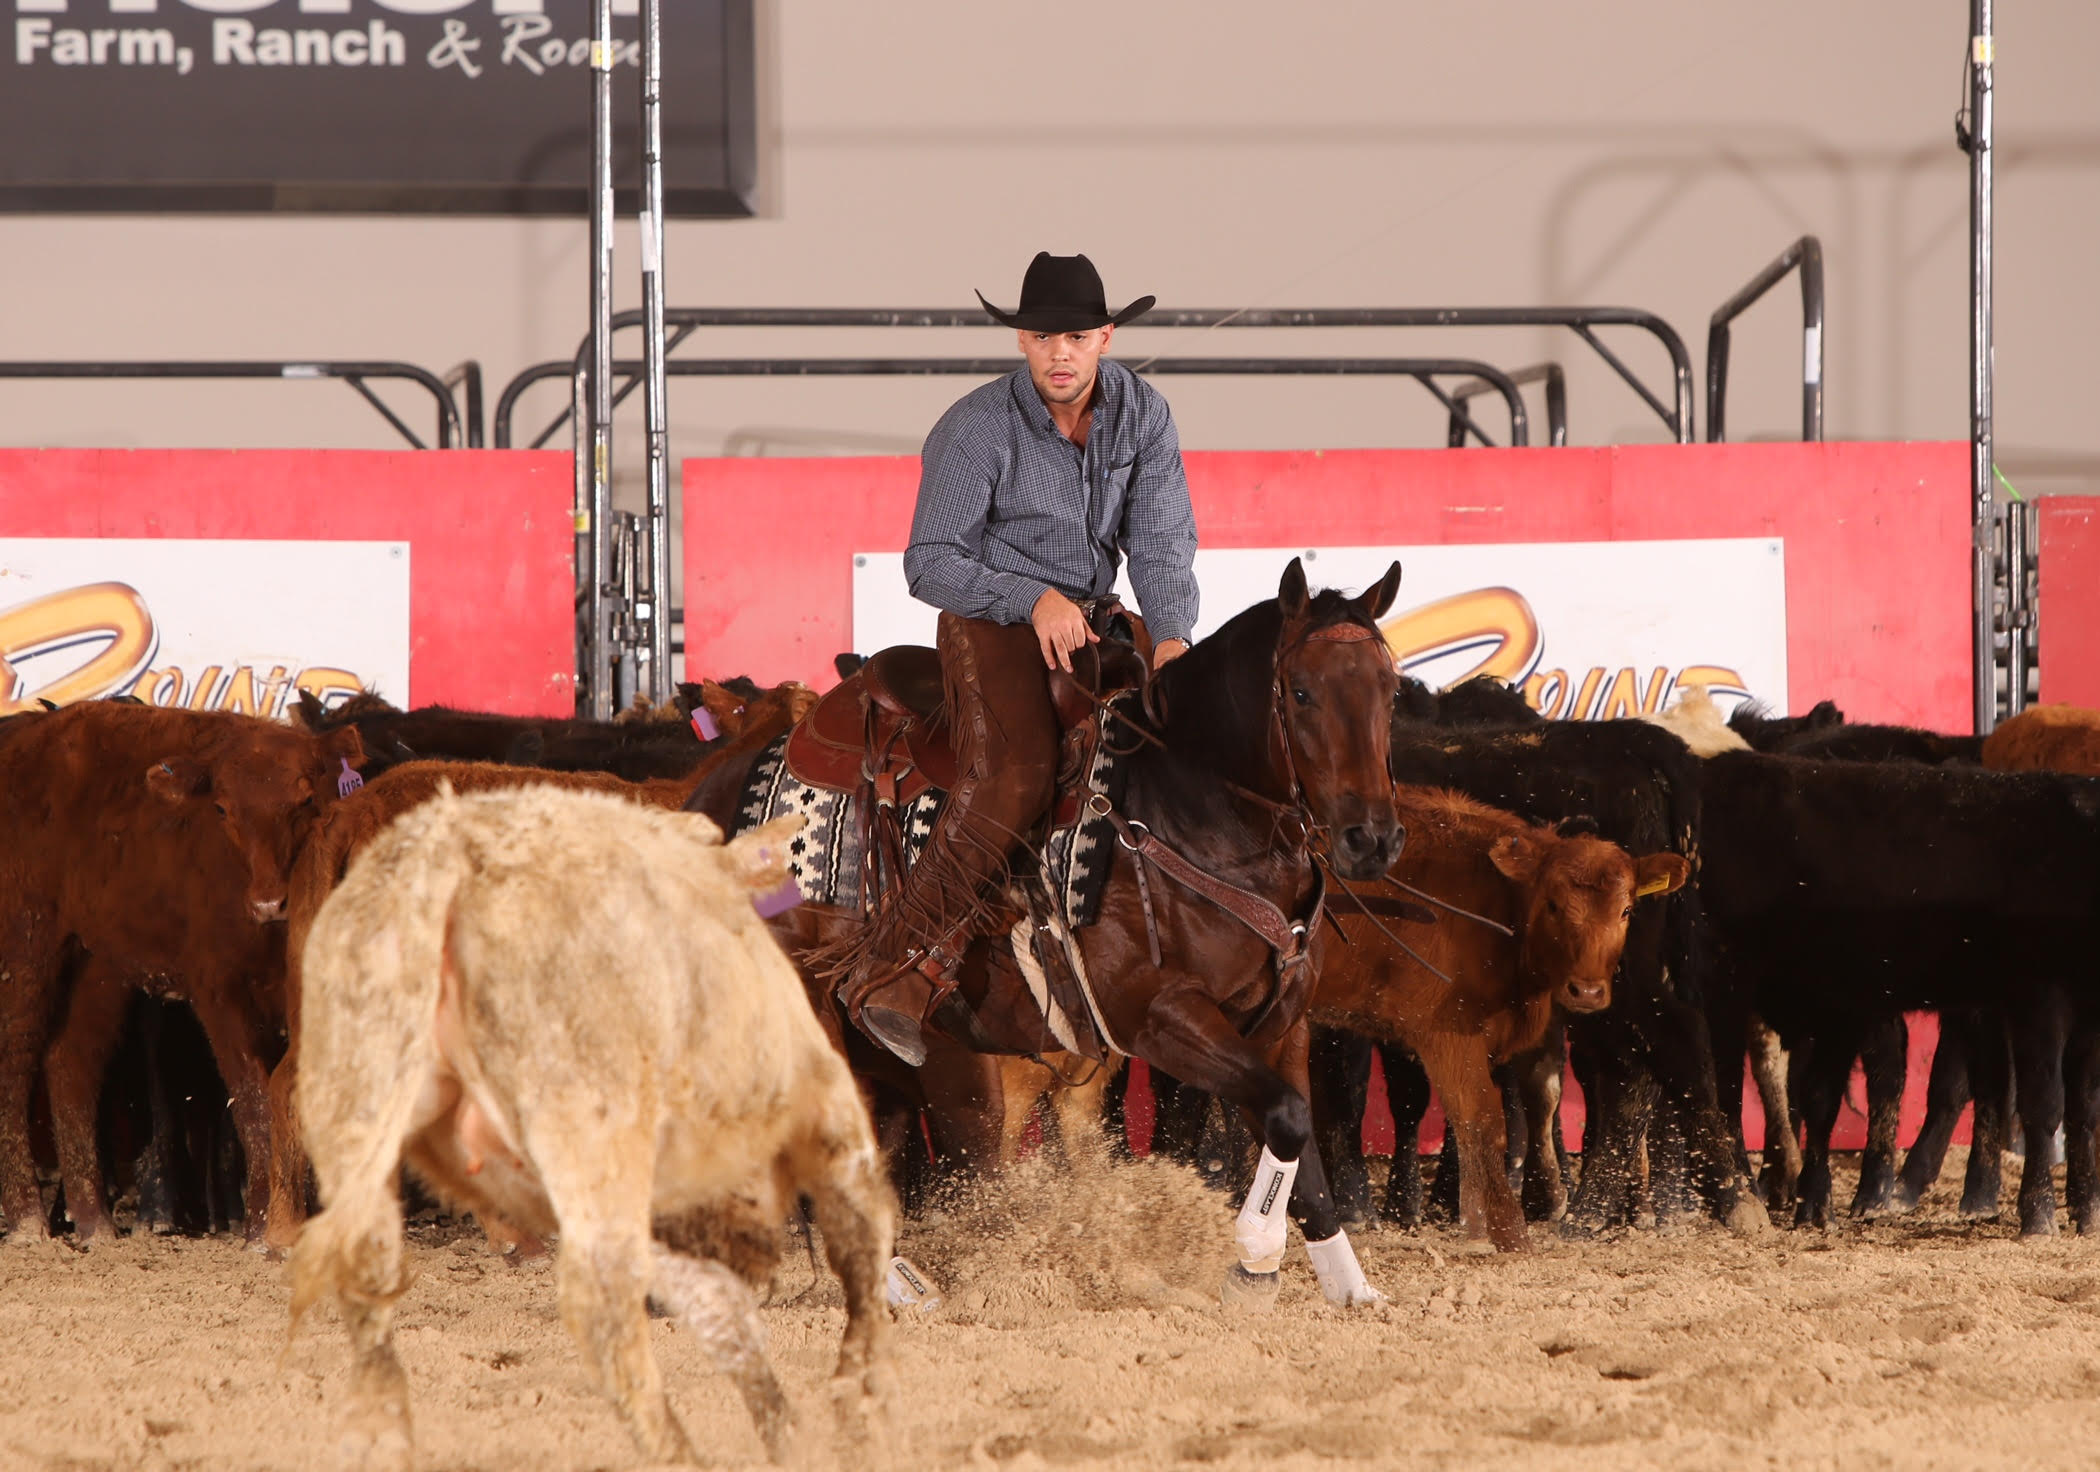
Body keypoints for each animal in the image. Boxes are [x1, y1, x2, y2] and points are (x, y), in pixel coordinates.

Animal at [0, 701, 361, 1243]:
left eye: (304, 801)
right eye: (222, 809)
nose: (269, 903)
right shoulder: (219, 993)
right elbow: (252, 1098)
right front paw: (262, 1226)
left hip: (95, 964)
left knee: (71, 1066)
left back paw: (94, 1222)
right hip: (26, 947)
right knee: (14, 1063)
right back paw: (26, 1218)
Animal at [692, 558, 1411, 1301]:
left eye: (1391, 690)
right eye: (1301, 693)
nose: (1372, 838)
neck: (1192, 810)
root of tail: (716, 785)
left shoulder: (1278, 1023)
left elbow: (1301, 1145)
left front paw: (1349, 1287)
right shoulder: (1158, 1017)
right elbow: (1290, 1118)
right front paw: (1254, 1260)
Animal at [1310, 785, 1688, 1243]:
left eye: (1626, 910)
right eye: (1553, 905)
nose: (1587, 991)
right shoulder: (1446, 1034)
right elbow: (1481, 1122)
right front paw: (1504, 1232)